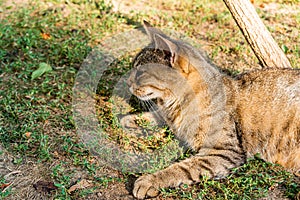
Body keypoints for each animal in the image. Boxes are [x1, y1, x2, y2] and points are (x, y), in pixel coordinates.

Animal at [125, 21, 298, 199]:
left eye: (141, 72)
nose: (127, 82)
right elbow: (159, 116)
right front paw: (132, 119)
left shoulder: (222, 152)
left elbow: (182, 168)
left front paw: (150, 180)